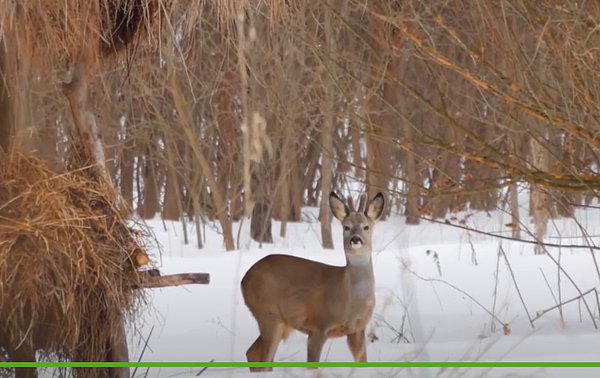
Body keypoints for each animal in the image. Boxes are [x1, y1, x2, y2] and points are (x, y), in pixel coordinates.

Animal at [241, 190, 386, 370]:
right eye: (346, 227)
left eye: (366, 226)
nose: (355, 239)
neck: (350, 301)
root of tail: (244, 280)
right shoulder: (318, 325)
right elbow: (312, 365)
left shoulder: (357, 330)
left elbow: (362, 361)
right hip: (268, 313)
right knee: (261, 356)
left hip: (280, 322)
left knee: (253, 352)